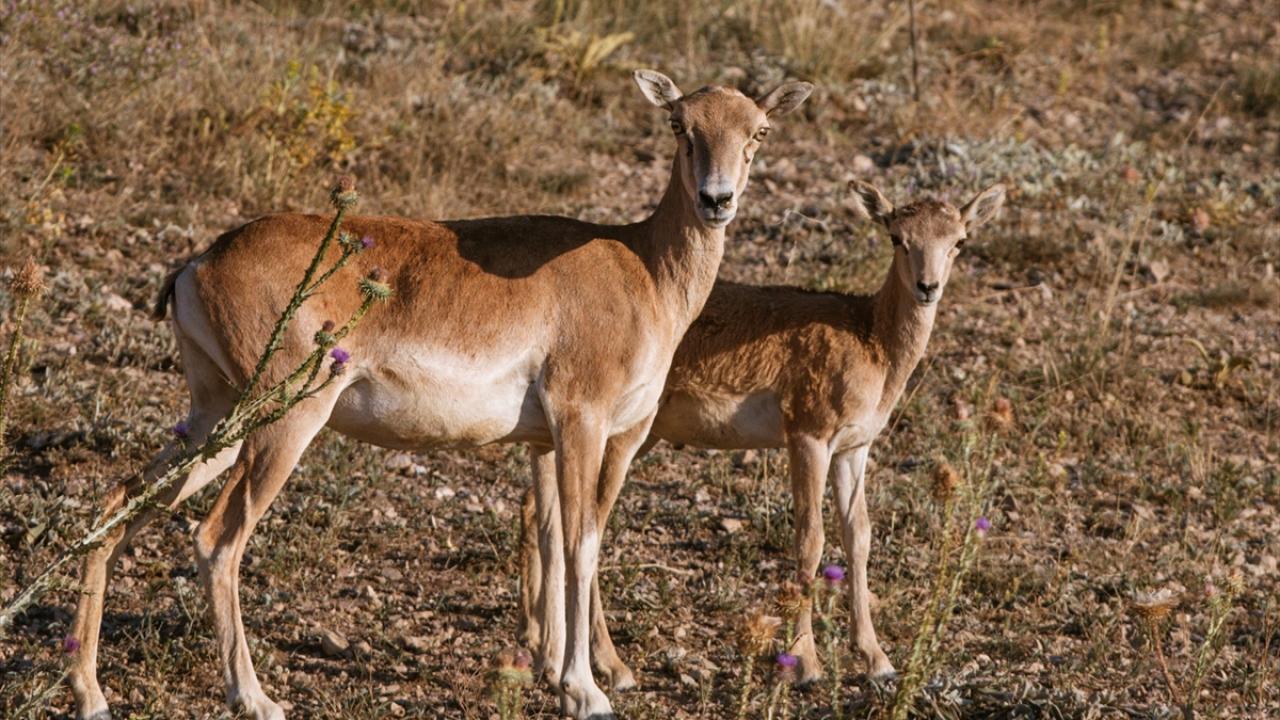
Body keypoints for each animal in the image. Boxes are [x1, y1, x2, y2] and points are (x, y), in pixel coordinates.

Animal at [66, 70, 813, 720]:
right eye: (680, 124)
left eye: (759, 128)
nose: (717, 199)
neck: (641, 267)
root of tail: (201, 260)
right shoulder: (584, 425)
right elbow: (581, 546)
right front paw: (586, 691)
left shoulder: (548, 444)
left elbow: (553, 543)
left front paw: (559, 675)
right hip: (281, 425)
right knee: (217, 538)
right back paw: (255, 699)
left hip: (215, 422)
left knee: (116, 503)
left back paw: (91, 694)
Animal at [520, 180, 1006, 689]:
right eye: (897, 236)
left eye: (959, 240)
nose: (927, 287)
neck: (871, 339)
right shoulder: (809, 436)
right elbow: (810, 538)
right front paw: (807, 663)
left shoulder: (854, 448)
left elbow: (859, 536)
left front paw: (878, 660)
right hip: (623, 434)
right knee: (585, 524)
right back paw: (610, 666)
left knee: (537, 507)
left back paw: (536, 641)